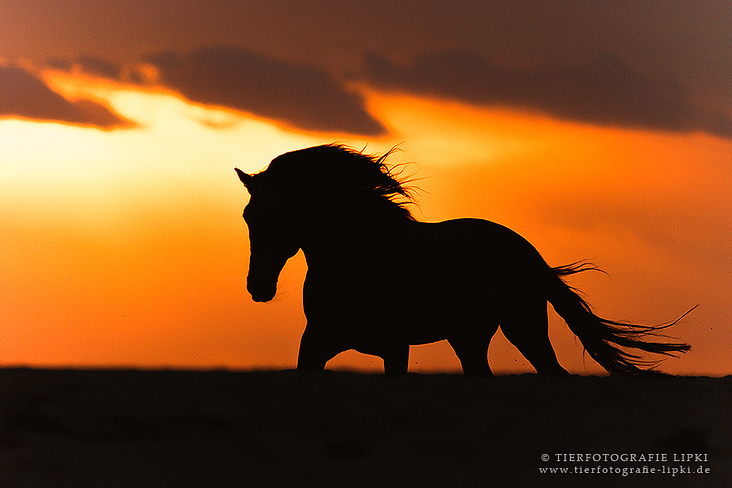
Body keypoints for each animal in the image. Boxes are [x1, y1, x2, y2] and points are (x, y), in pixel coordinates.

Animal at [236, 143, 692, 376]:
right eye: (248, 216)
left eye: (278, 217)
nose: (257, 287)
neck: (360, 259)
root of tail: (530, 255)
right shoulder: (315, 344)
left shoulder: (394, 348)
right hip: (468, 338)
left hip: (523, 327)